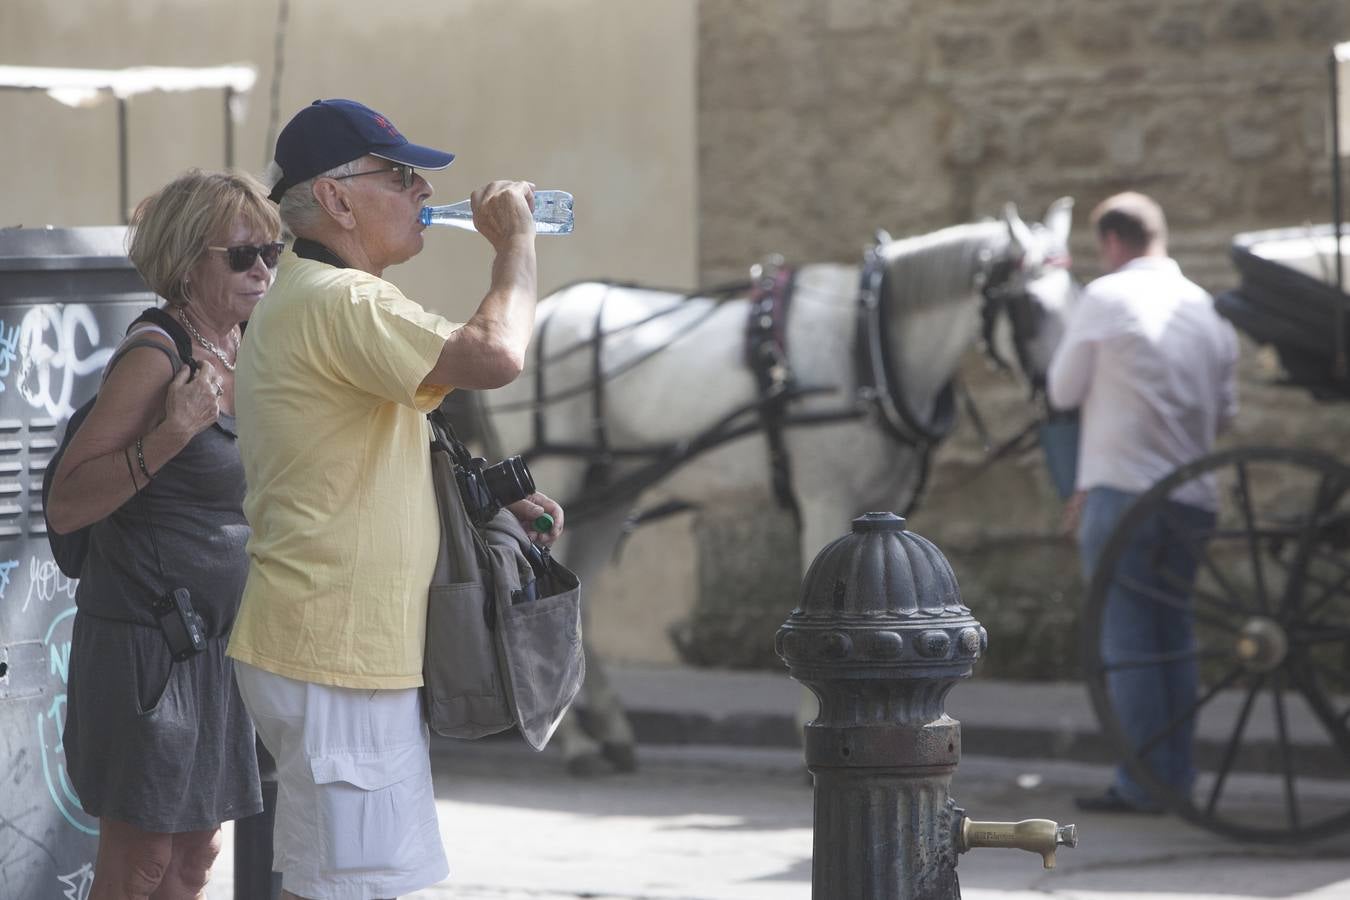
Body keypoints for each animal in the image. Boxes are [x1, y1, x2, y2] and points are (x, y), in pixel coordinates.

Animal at [448, 198, 1080, 777]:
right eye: (1028, 305)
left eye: (1075, 293)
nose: (1066, 402)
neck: (869, 342)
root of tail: (540, 313)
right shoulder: (826, 500)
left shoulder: (886, 505)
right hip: (560, 478)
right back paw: (577, 740)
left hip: (610, 488)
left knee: (581, 596)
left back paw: (605, 729)